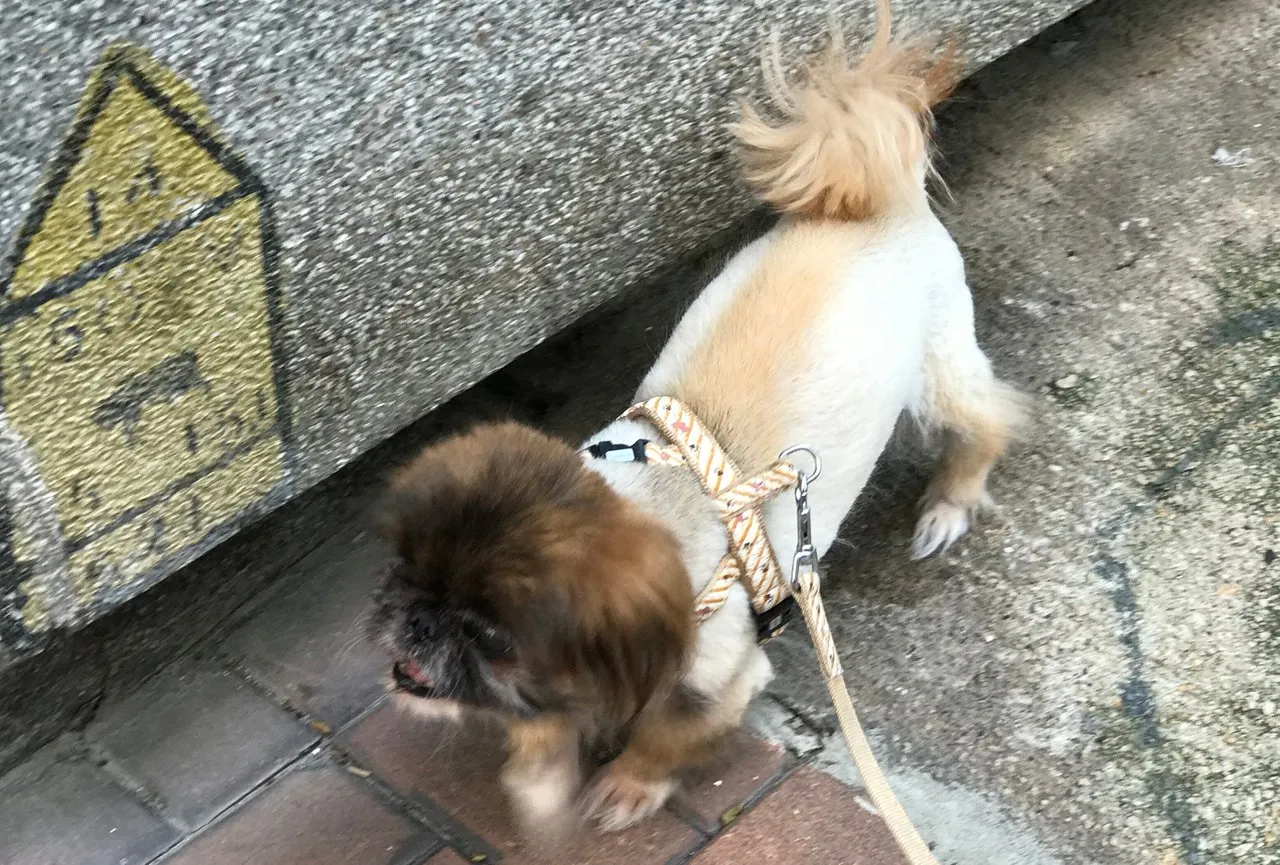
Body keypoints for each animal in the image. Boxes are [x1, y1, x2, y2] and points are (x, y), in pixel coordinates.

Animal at [368, 0, 1024, 841]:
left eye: (489, 636)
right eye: (403, 572)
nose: (417, 622)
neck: (660, 499)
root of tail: (880, 202)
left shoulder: (720, 674)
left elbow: (666, 733)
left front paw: (627, 785)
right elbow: (544, 726)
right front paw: (541, 774)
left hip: (940, 373)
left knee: (988, 422)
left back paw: (949, 504)